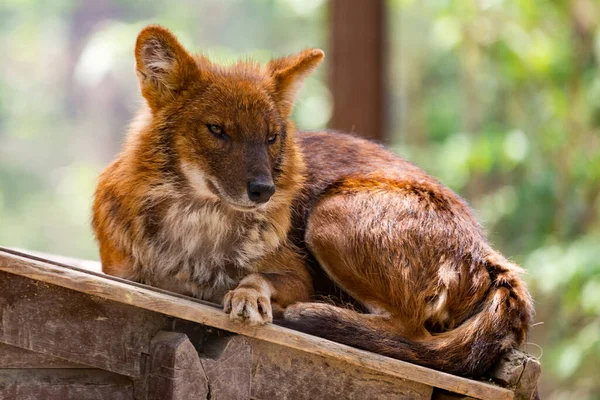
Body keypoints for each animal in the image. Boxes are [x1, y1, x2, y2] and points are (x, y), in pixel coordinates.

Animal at [92, 25, 536, 378]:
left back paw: (320, 315)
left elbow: (258, 278)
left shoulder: (296, 273)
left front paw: (247, 295)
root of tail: (489, 256)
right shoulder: (122, 270)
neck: (198, 227)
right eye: (217, 130)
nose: (264, 189)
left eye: (271, 137)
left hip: (329, 215)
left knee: (412, 332)